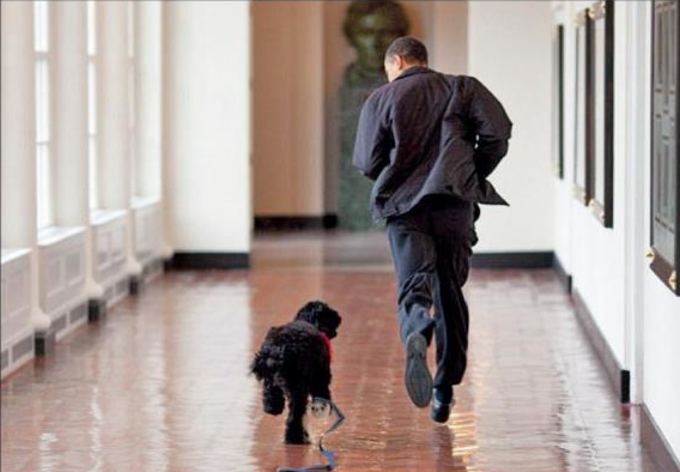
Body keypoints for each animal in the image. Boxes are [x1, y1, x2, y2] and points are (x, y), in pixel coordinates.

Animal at [251, 300, 342, 444]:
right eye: (329, 313)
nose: (339, 317)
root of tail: (278, 348)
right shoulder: (321, 378)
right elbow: (322, 398)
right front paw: (320, 411)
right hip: (299, 386)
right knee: (295, 414)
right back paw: (295, 437)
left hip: (273, 380)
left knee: (271, 396)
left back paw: (273, 408)